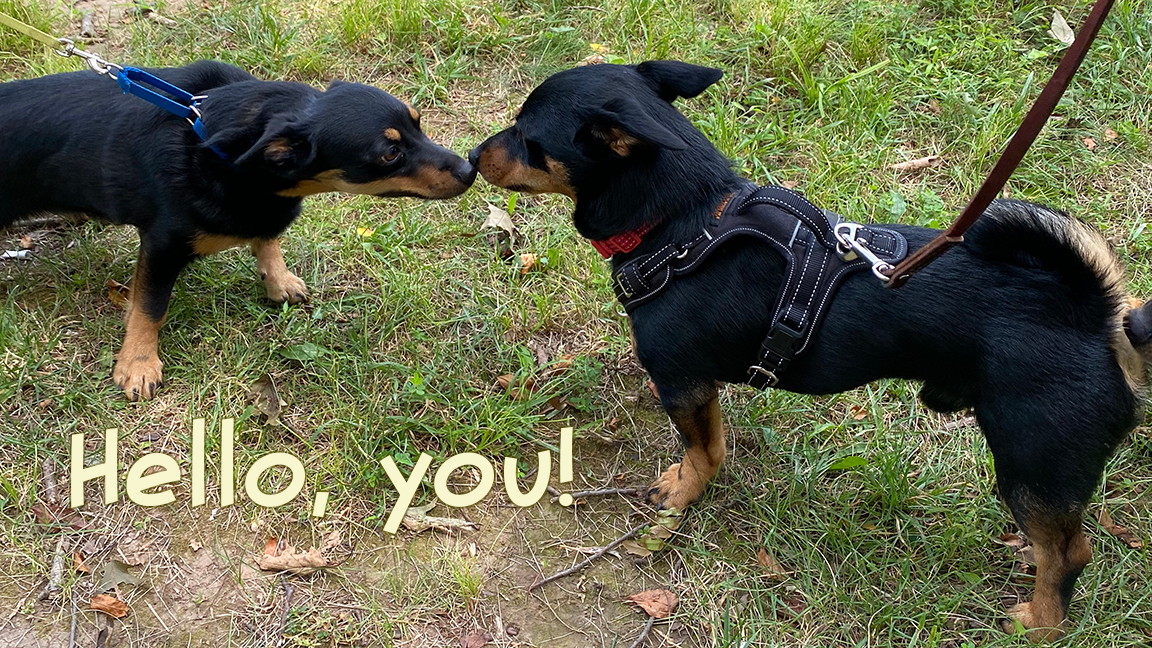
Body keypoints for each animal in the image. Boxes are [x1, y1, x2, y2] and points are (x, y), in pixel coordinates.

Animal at [0, 63, 474, 401]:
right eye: (389, 152)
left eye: (418, 122)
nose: (470, 168)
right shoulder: (163, 245)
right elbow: (150, 306)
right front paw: (138, 363)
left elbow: (268, 239)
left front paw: (277, 279)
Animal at [472, 61, 1152, 641]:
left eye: (527, 137)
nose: (476, 155)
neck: (682, 221)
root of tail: (1094, 312)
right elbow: (714, 442)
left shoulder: (681, 381)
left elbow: (702, 449)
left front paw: (683, 494)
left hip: (1031, 462)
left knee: (1067, 551)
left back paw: (1040, 623)